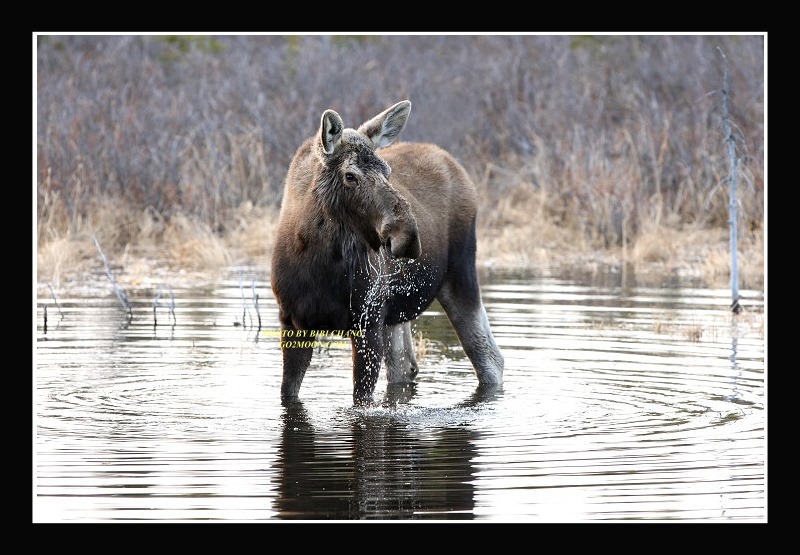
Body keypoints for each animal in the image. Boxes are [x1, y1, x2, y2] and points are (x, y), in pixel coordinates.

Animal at [272, 100, 504, 404]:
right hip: (397, 313)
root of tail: (454, 164)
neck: (317, 265)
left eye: (387, 172)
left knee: (491, 359)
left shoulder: (368, 321)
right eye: (350, 175)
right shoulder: (292, 321)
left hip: (460, 276)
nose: (408, 237)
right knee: (405, 365)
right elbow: (288, 393)